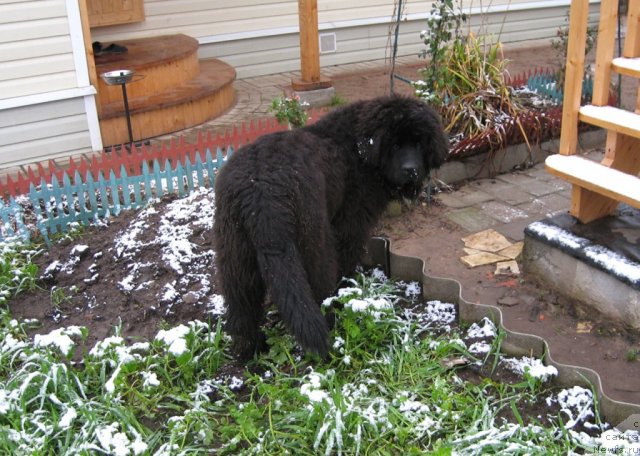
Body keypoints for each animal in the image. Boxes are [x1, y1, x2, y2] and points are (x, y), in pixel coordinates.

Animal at [212, 96, 448, 360]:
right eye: (395, 145)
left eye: (418, 143)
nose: (411, 170)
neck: (359, 150)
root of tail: (260, 191)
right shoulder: (351, 222)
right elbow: (347, 255)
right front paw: (347, 284)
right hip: (312, 241)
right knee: (317, 288)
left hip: (235, 250)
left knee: (242, 303)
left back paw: (250, 349)